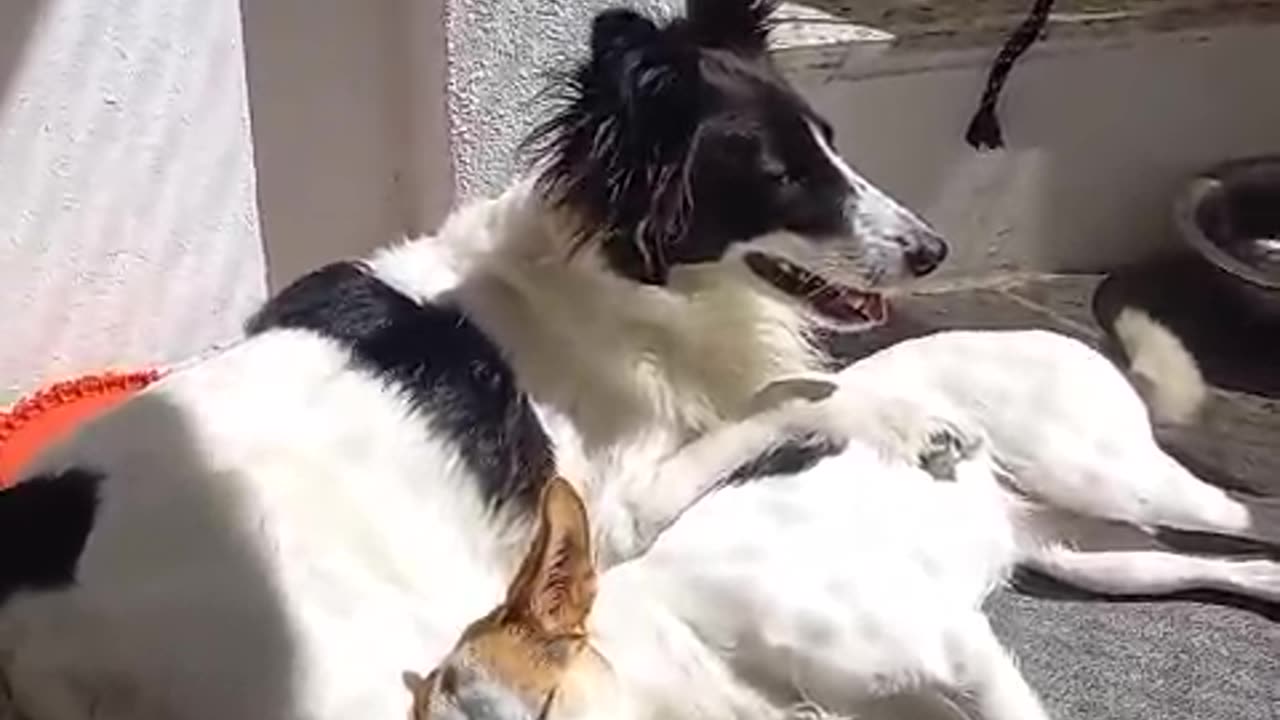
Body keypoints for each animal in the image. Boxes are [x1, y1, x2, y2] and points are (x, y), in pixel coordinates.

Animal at [412, 324, 1280, 717]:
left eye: (544, 712)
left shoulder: (960, 652)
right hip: (1099, 558)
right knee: (1234, 565)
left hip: (1117, 480)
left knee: (1250, 511)